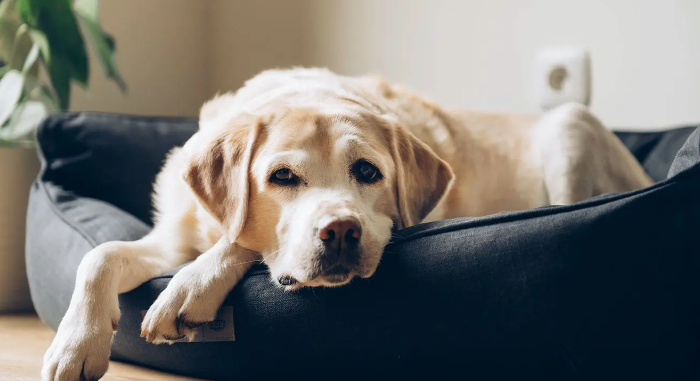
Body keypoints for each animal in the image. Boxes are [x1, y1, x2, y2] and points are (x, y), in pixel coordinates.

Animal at [41, 68, 652, 380]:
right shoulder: (169, 238)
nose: (339, 232)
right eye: (282, 176)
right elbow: (99, 255)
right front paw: (75, 345)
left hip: (569, 124)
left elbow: (242, 243)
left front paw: (191, 287)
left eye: (368, 171)